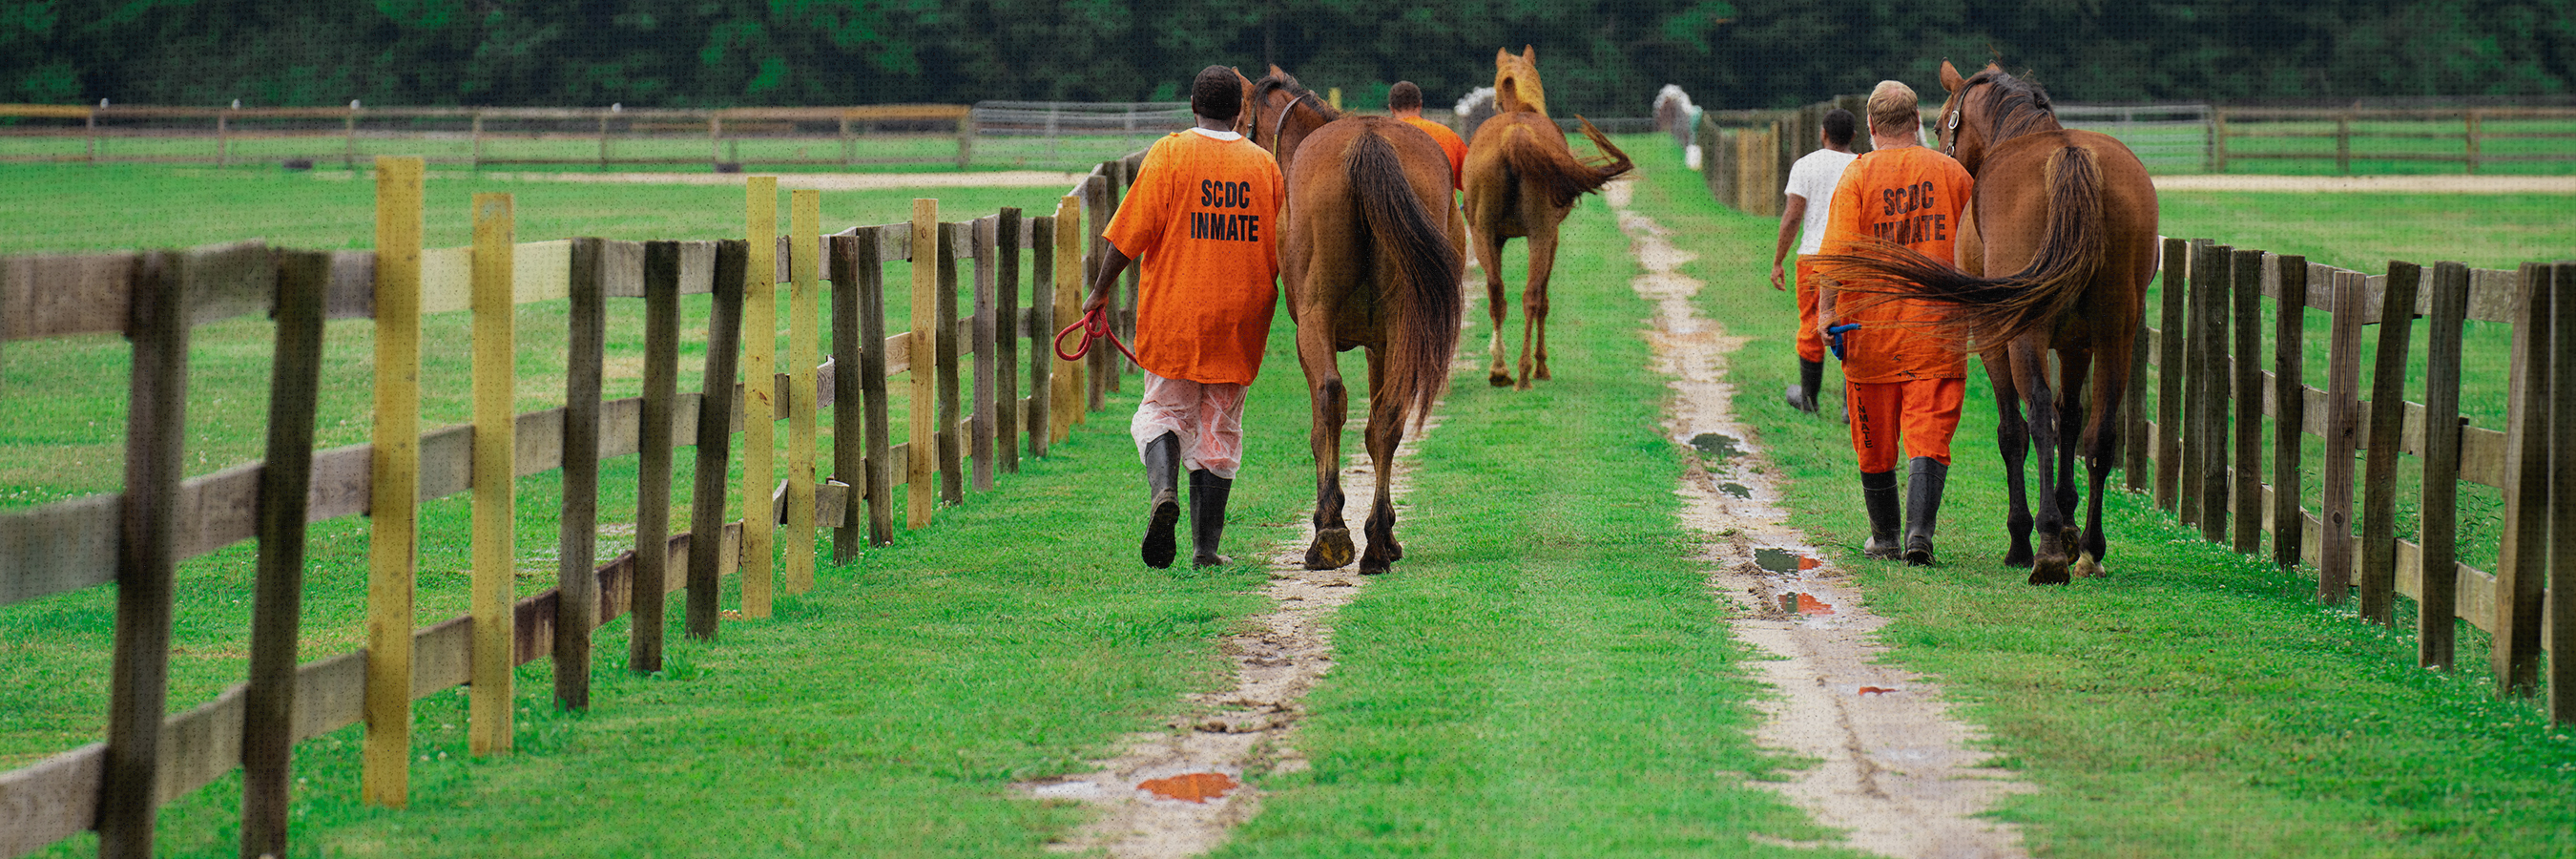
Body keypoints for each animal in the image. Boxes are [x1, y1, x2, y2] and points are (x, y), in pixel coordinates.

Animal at [1252, 70, 1473, 573]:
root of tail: (1368, 139)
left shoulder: (1316, 334)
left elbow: (1325, 420)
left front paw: (1333, 518)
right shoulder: (1382, 342)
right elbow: (1377, 427)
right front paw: (1385, 530)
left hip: (1316, 319)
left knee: (1331, 398)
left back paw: (1330, 534)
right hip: (1401, 325)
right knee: (1388, 416)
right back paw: (1376, 544)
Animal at [1473, 46, 1628, 387]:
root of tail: (1514, 134)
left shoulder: (1499, 238)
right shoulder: (1552, 237)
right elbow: (1543, 301)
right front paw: (1542, 365)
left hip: (1484, 234)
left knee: (1497, 293)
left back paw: (1500, 370)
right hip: (1540, 236)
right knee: (1532, 296)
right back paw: (1526, 372)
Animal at [1813, 60, 2153, 582]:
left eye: (1938, 126)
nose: (1945, 151)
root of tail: (2070, 155)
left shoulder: (1996, 337)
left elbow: (2013, 431)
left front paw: (2025, 536)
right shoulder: (2076, 345)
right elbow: (2071, 418)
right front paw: (2070, 525)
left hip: (2026, 335)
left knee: (2036, 415)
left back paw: (2044, 550)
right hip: (2117, 333)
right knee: (2099, 432)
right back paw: (2089, 549)